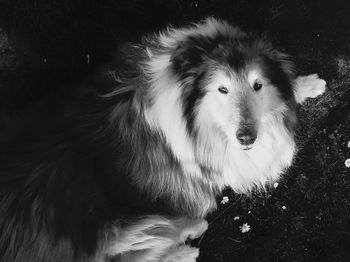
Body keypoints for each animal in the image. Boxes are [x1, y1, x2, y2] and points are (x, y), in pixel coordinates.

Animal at [0, 17, 326, 260]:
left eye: (257, 85)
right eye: (222, 89)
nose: (246, 137)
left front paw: (307, 85)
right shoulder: (219, 156)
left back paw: (190, 228)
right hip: (113, 229)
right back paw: (185, 248)